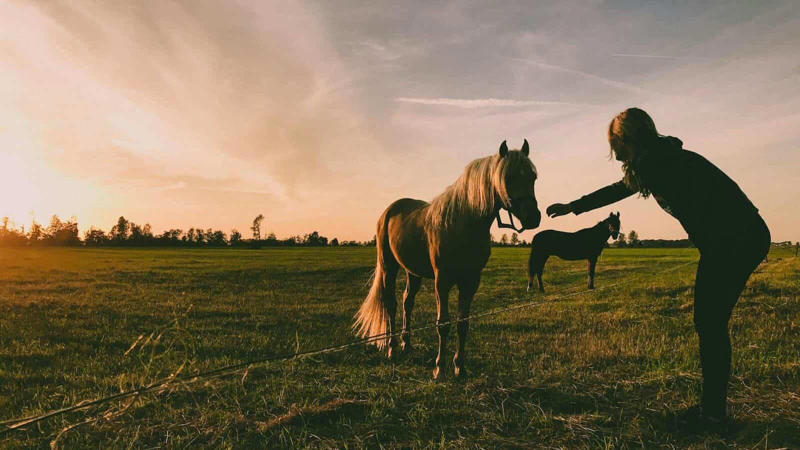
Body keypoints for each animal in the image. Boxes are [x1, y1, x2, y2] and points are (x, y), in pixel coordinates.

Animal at [354, 140, 541, 379]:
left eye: (533, 177)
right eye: (507, 177)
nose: (533, 217)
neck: (464, 222)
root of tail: (389, 211)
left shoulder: (471, 281)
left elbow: (463, 323)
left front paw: (459, 367)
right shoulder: (441, 280)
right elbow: (443, 324)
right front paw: (439, 369)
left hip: (412, 272)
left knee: (407, 302)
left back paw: (406, 344)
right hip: (389, 266)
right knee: (391, 304)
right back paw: (392, 349)